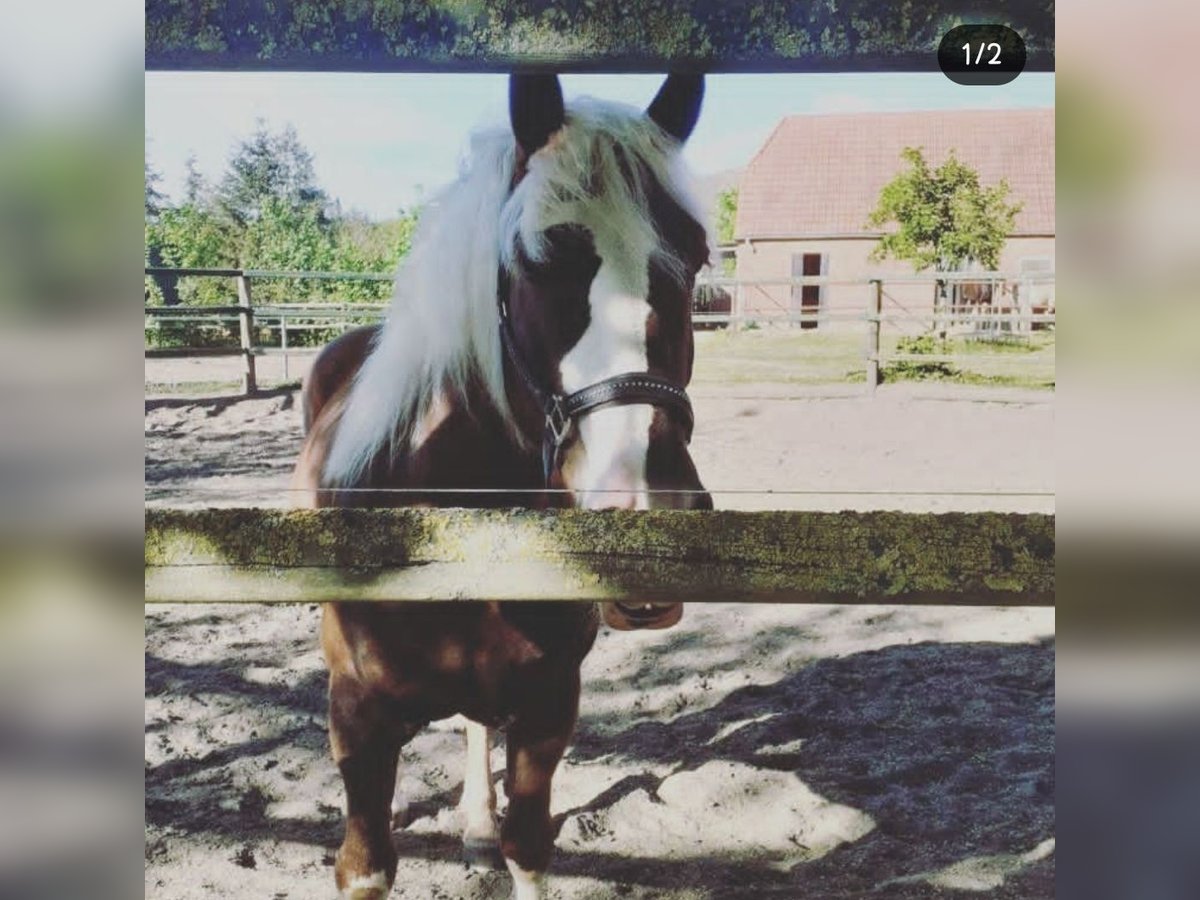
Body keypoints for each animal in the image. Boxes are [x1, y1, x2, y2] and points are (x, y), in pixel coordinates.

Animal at [292, 72, 710, 900]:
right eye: (536, 261)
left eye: (698, 256)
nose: (646, 511)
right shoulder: (357, 719)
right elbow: (367, 864)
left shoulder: (549, 705)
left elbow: (529, 845)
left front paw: (496, 835)